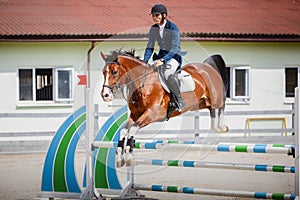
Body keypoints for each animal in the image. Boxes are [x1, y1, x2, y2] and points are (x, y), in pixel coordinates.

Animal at [99, 50, 229, 167]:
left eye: (114, 72)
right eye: (103, 72)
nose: (105, 95)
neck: (143, 84)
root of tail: (207, 66)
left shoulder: (153, 114)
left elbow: (133, 129)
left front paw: (129, 156)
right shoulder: (135, 115)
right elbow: (124, 130)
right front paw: (121, 158)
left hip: (215, 98)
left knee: (221, 105)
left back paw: (222, 127)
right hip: (201, 103)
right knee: (212, 110)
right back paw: (216, 127)